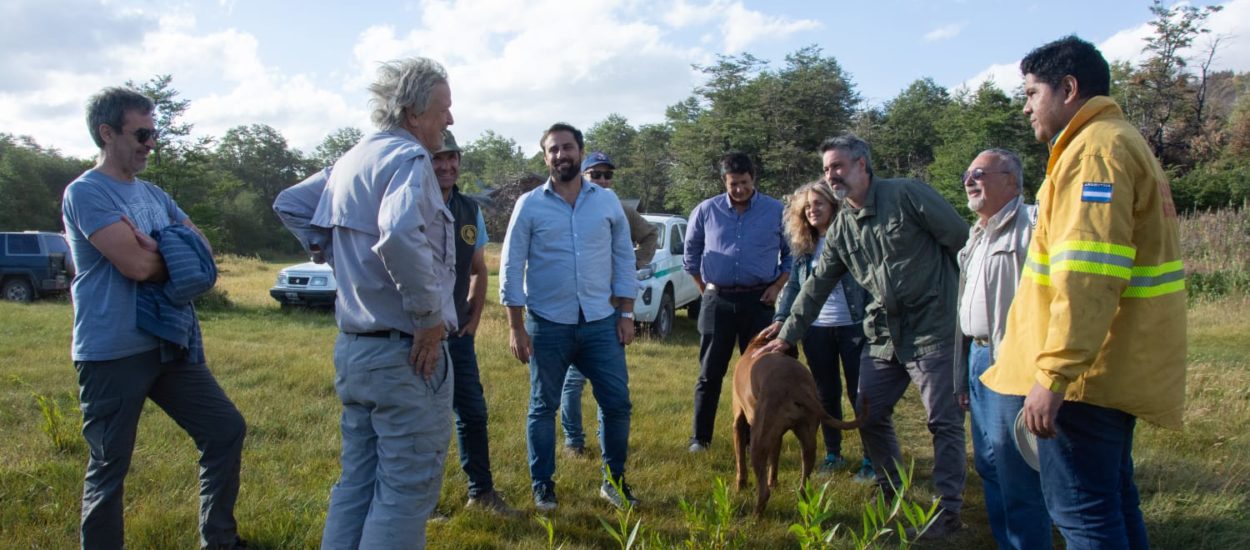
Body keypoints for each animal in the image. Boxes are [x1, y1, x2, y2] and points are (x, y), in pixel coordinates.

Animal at [730, 330, 865, 515]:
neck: (759, 344)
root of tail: (796, 386)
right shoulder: (777, 436)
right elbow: (774, 462)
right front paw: (774, 482)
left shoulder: (739, 422)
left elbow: (740, 462)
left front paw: (740, 487)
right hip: (807, 440)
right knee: (804, 483)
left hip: (758, 442)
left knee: (764, 491)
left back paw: (755, 514)